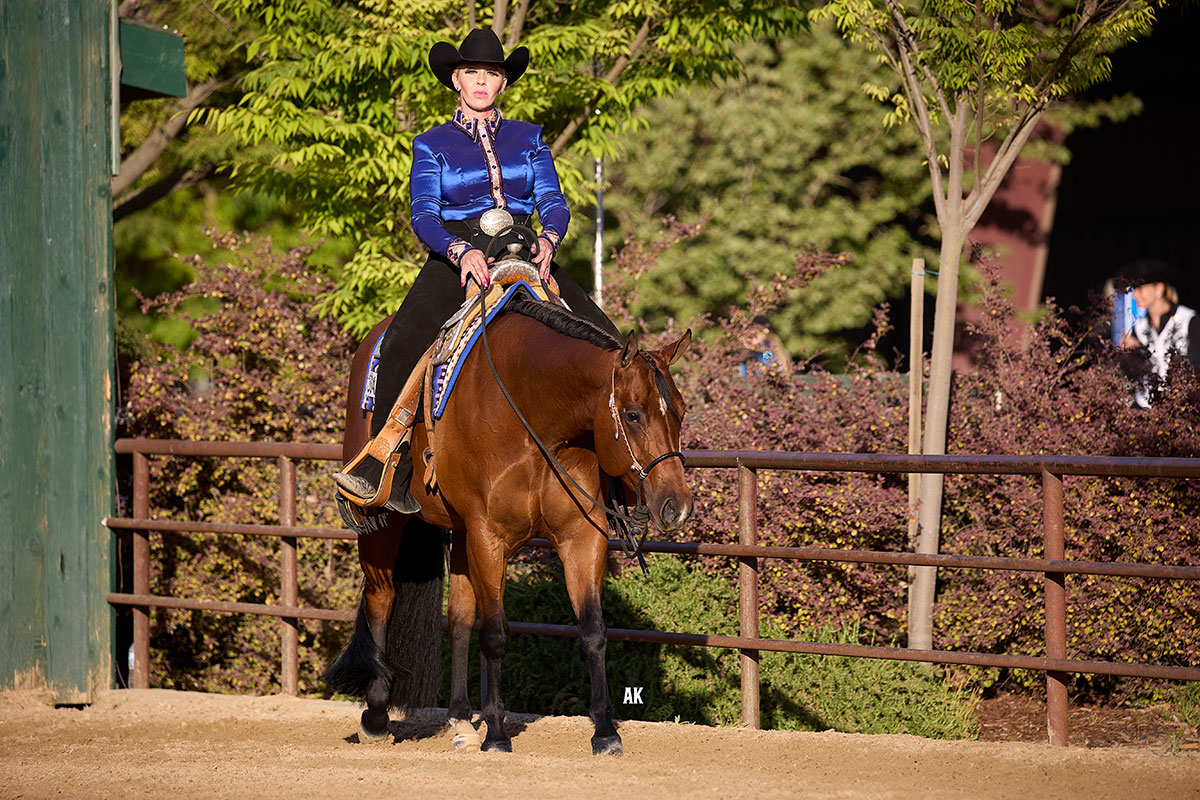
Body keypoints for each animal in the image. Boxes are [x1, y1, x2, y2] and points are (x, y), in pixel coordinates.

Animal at [325, 288, 693, 755]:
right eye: (632, 414)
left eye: (681, 411)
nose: (677, 506)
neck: (532, 418)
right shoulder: (489, 536)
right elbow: (496, 634)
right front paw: (498, 734)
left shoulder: (580, 535)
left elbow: (593, 630)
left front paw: (605, 731)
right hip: (386, 524)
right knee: (381, 601)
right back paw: (375, 717)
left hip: (460, 534)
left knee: (459, 619)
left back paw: (461, 720)